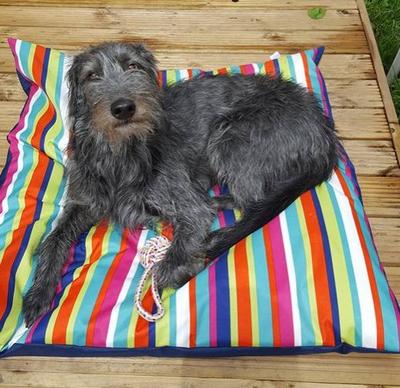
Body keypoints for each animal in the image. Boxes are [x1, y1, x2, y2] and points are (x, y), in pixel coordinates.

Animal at [21, 41, 340, 328]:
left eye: (133, 66)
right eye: (92, 76)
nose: (123, 108)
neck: (122, 150)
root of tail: (324, 131)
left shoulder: (183, 200)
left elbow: (184, 237)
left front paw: (178, 267)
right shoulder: (85, 199)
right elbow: (53, 239)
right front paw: (39, 291)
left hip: (232, 134)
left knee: (253, 204)